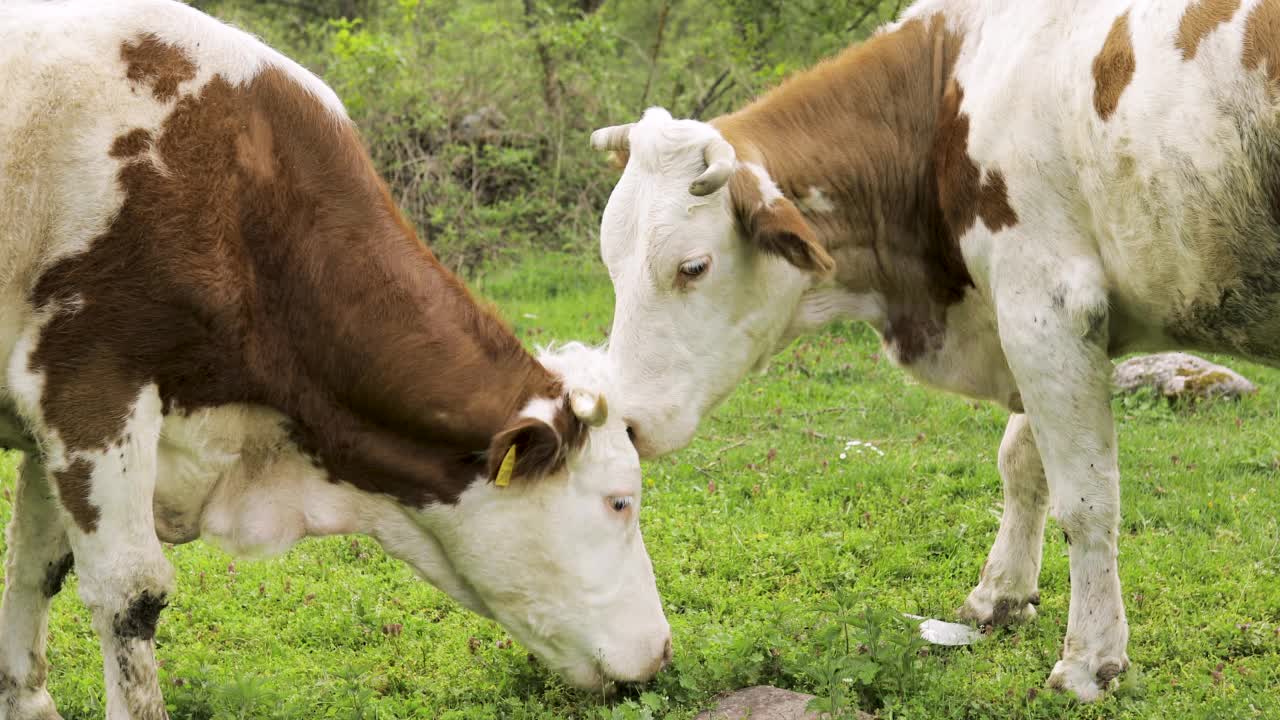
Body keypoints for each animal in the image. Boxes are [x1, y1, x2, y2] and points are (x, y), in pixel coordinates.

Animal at [0, 1, 675, 717]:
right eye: (620, 502)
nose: (661, 649)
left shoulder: (50, 425)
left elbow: (37, 571)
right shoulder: (91, 385)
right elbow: (130, 593)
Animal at [588, 0, 1280, 702]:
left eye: (692, 266)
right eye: (611, 261)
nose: (629, 421)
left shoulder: (1044, 302)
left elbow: (1086, 500)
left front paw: (1091, 661)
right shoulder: (1040, 317)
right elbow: (1021, 462)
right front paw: (1000, 596)